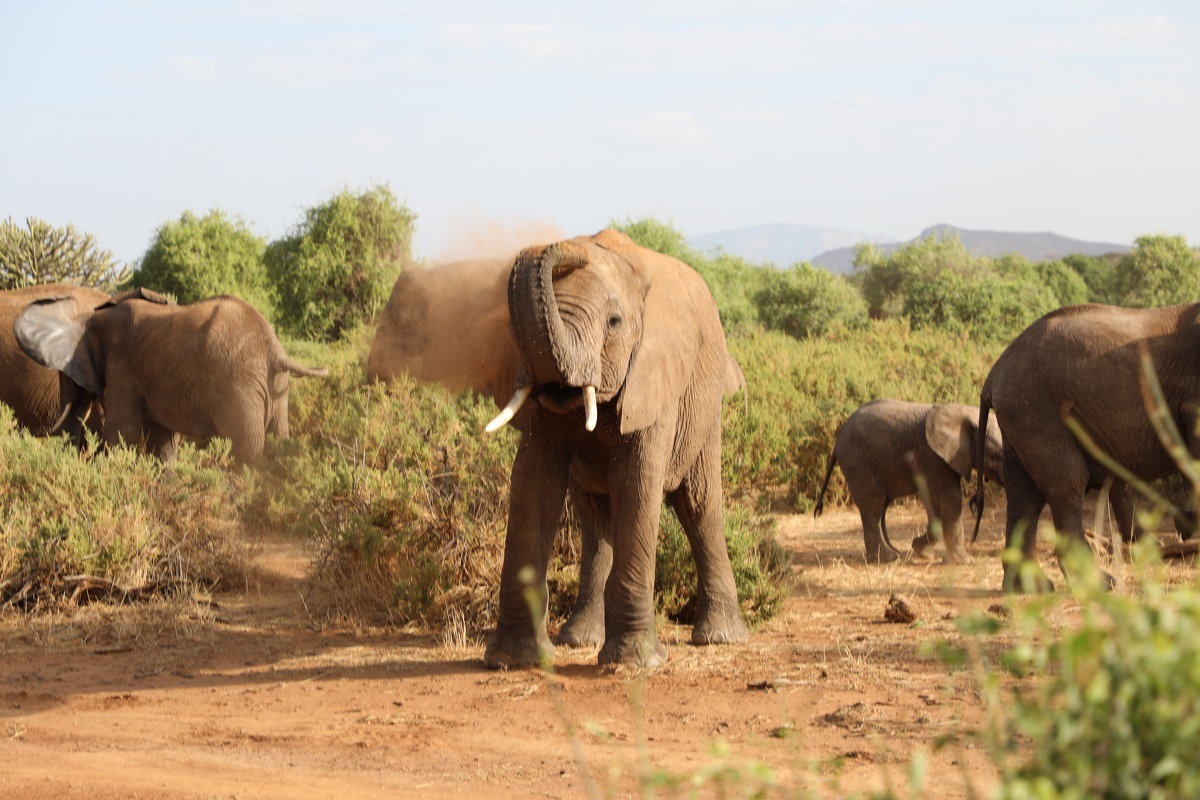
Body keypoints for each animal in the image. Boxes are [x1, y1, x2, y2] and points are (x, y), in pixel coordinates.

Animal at [15, 289, 333, 462]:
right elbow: (163, 440)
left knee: (247, 446)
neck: (91, 317)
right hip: (275, 385)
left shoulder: (122, 367)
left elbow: (123, 433)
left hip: (239, 384)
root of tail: (274, 348)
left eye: (68, 374)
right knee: (279, 437)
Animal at [816, 398, 1003, 563]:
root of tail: (839, 437)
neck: (967, 413)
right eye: (995, 456)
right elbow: (951, 498)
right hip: (857, 460)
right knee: (873, 503)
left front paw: (922, 552)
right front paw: (966, 562)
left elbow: (934, 501)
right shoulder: (933, 456)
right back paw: (887, 558)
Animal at [974, 303, 1200, 592]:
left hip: (1019, 421)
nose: (1183, 525)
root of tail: (994, 375)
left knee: (1024, 496)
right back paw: (1100, 583)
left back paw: (1030, 588)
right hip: (1038, 416)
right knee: (1066, 484)